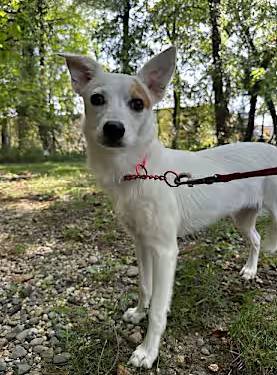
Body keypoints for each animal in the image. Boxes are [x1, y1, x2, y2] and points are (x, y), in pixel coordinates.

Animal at [61, 47, 276, 370]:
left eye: (138, 104)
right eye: (96, 99)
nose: (114, 129)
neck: (137, 171)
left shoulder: (165, 250)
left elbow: (159, 309)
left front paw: (147, 351)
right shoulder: (141, 242)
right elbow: (144, 286)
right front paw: (138, 313)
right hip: (242, 218)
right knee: (257, 240)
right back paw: (250, 271)